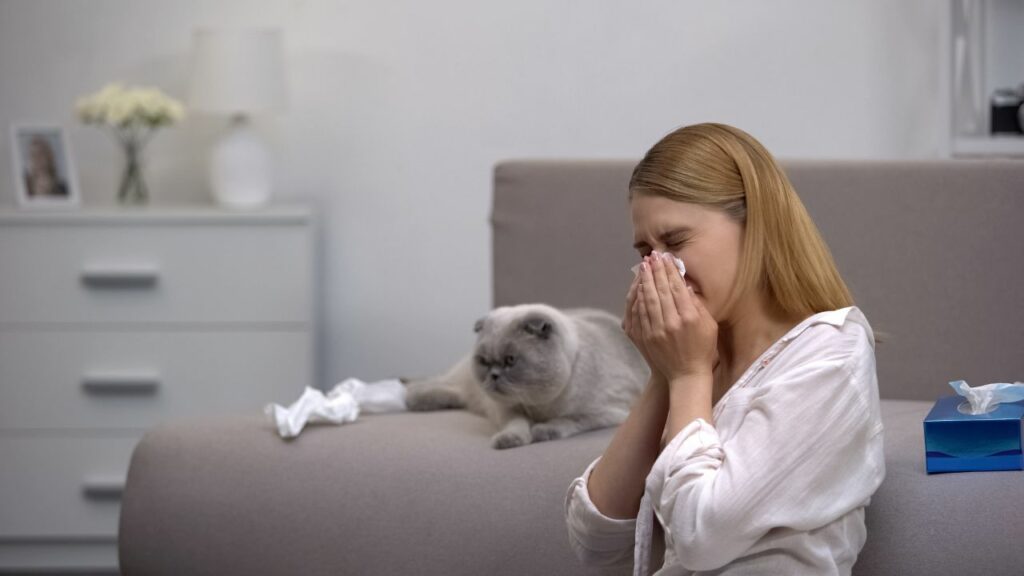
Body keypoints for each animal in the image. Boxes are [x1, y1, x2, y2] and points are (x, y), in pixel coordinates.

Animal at [401, 303, 647, 446]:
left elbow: (568, 419)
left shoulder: (610, 412)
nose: (493, 375)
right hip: (469, 384)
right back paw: (412, 397)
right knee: (442, 384)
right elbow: (517, 424)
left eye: (510, 360)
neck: (540, 406)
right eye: (484, 361)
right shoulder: (505, 408)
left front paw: (541, 431)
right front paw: (509, 440)